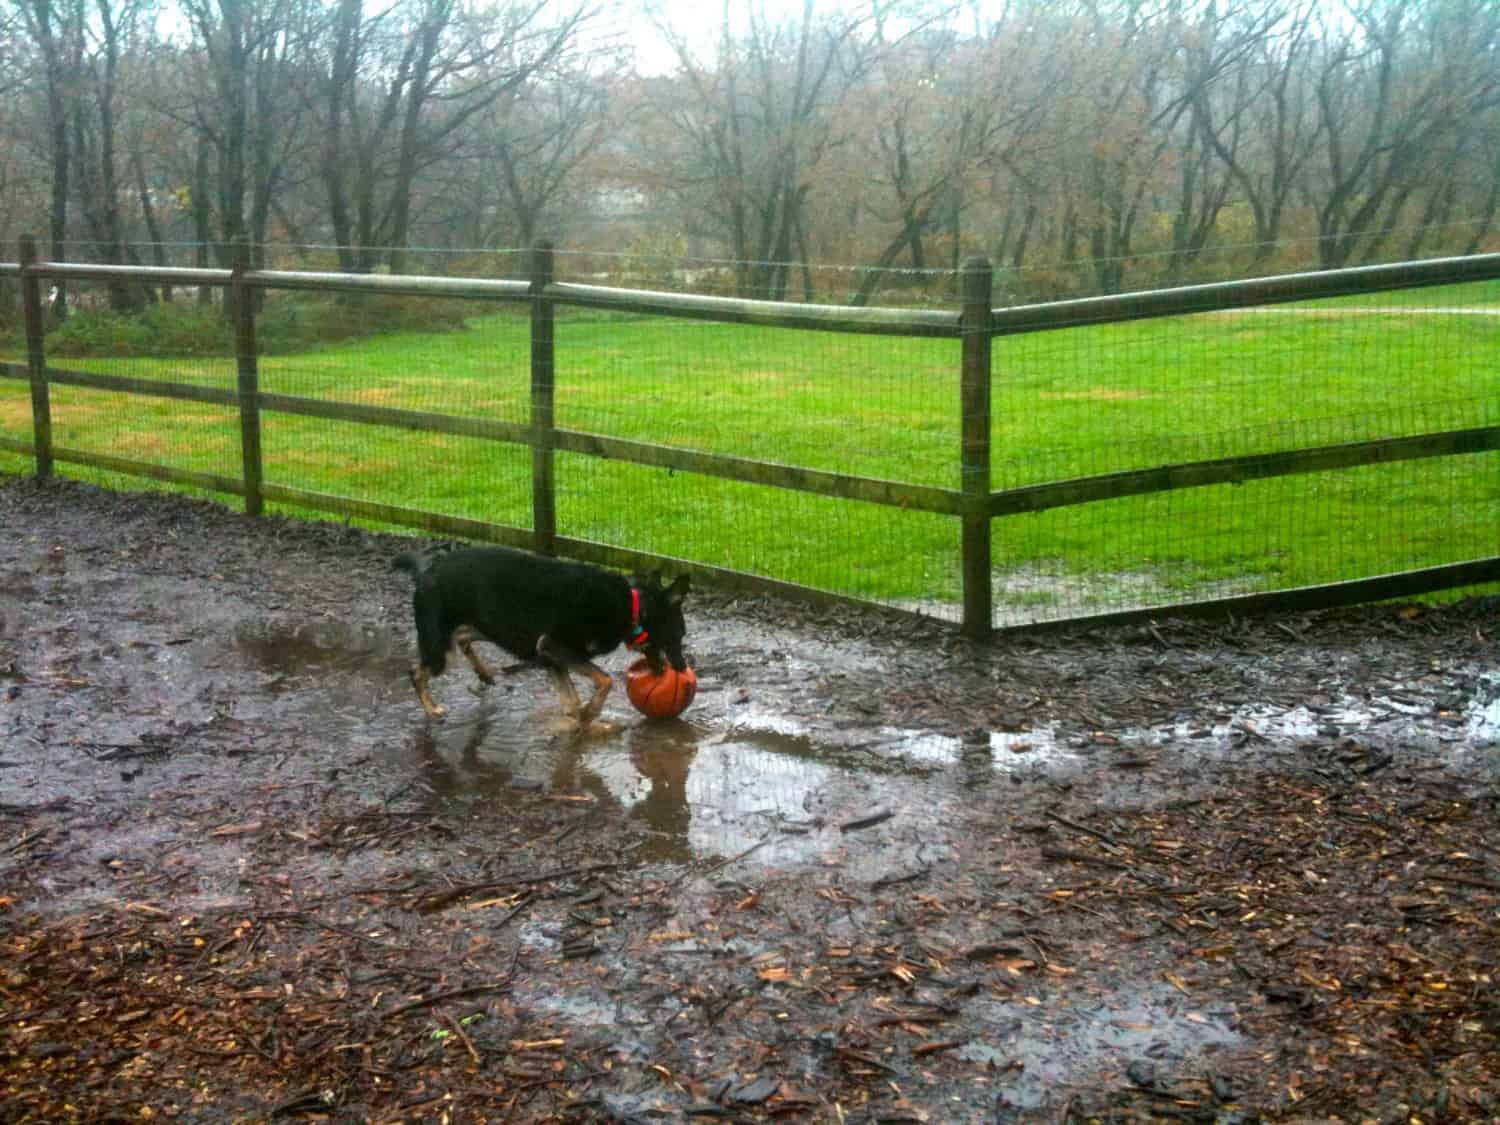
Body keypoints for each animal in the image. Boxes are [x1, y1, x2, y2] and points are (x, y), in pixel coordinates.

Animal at [390, 552, 687, 726]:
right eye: (679, 634)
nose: (682, 669)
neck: (633, 607)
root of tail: (425, 572)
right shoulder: (553, 646)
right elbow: (605, 680)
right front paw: (591, 712)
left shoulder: (551, 655)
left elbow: (572, 699)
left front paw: (581, 716)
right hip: (441, 648)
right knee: (416, 672)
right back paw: (432, 709)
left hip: (483, 627)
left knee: (463, 638)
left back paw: (484, 673)